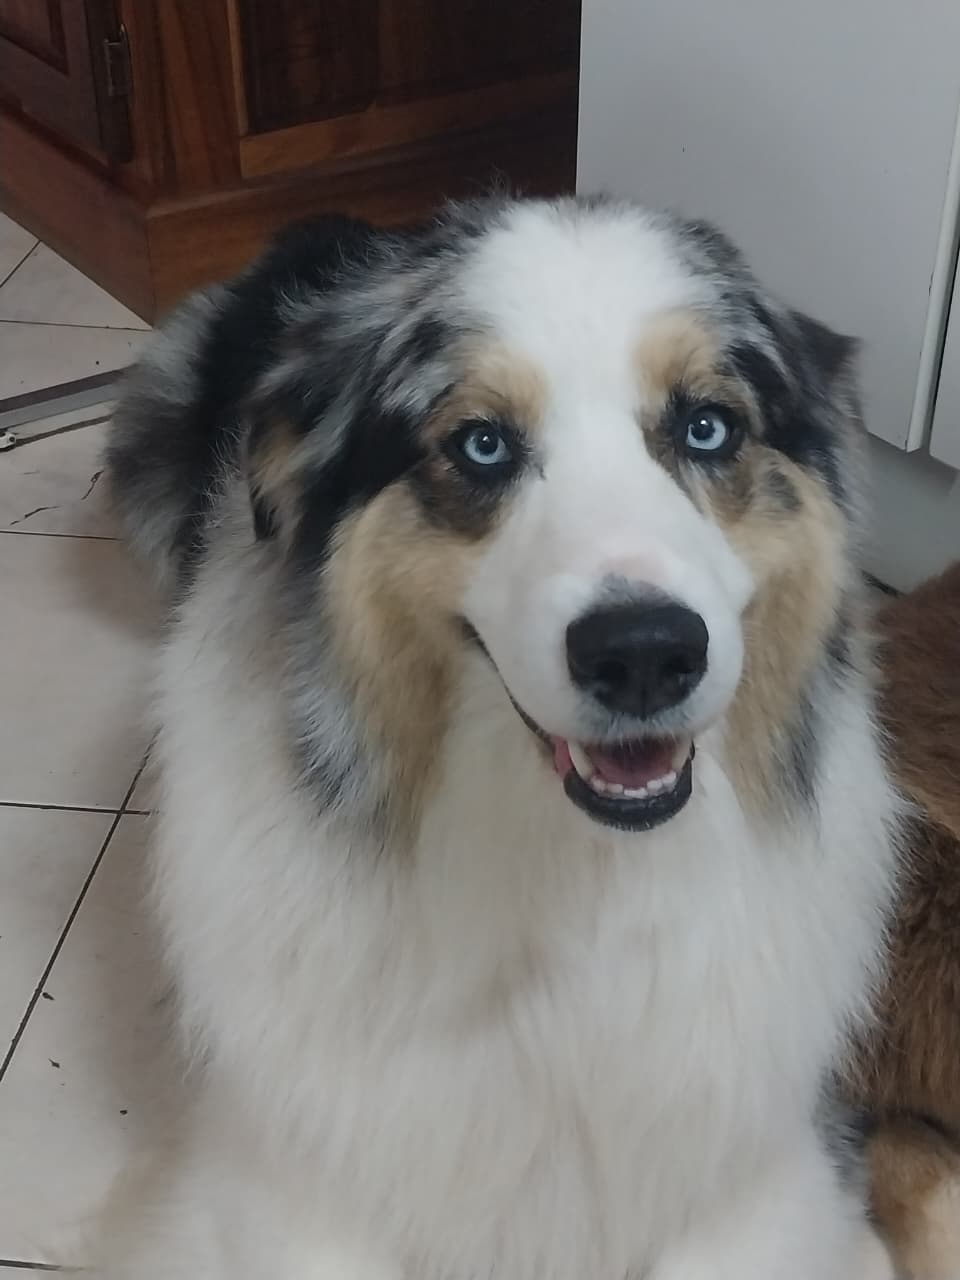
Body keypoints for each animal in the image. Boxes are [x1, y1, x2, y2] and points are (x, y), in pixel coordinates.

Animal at [97, 196, 901, 1278]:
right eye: (482, 445)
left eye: (708, 426)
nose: (644, 653)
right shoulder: (282, 1180)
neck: (571, 870)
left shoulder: (771, 1168)